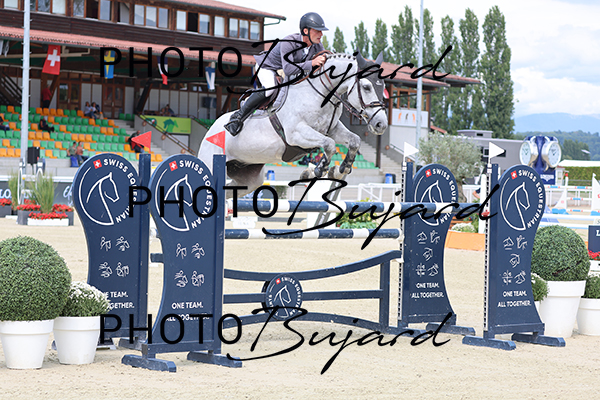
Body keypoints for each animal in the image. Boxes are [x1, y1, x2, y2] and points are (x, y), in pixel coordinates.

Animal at [198, 52, 388, 196]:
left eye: (384, 87)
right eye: (366, 87)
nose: (381, 124)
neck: (320, 95)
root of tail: (209, 131)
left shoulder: (333, 129)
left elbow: (354, 140)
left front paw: (343, 168)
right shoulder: (296, 133)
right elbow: (330, 145)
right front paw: (319, 170)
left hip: (249, 176)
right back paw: (234, 123)